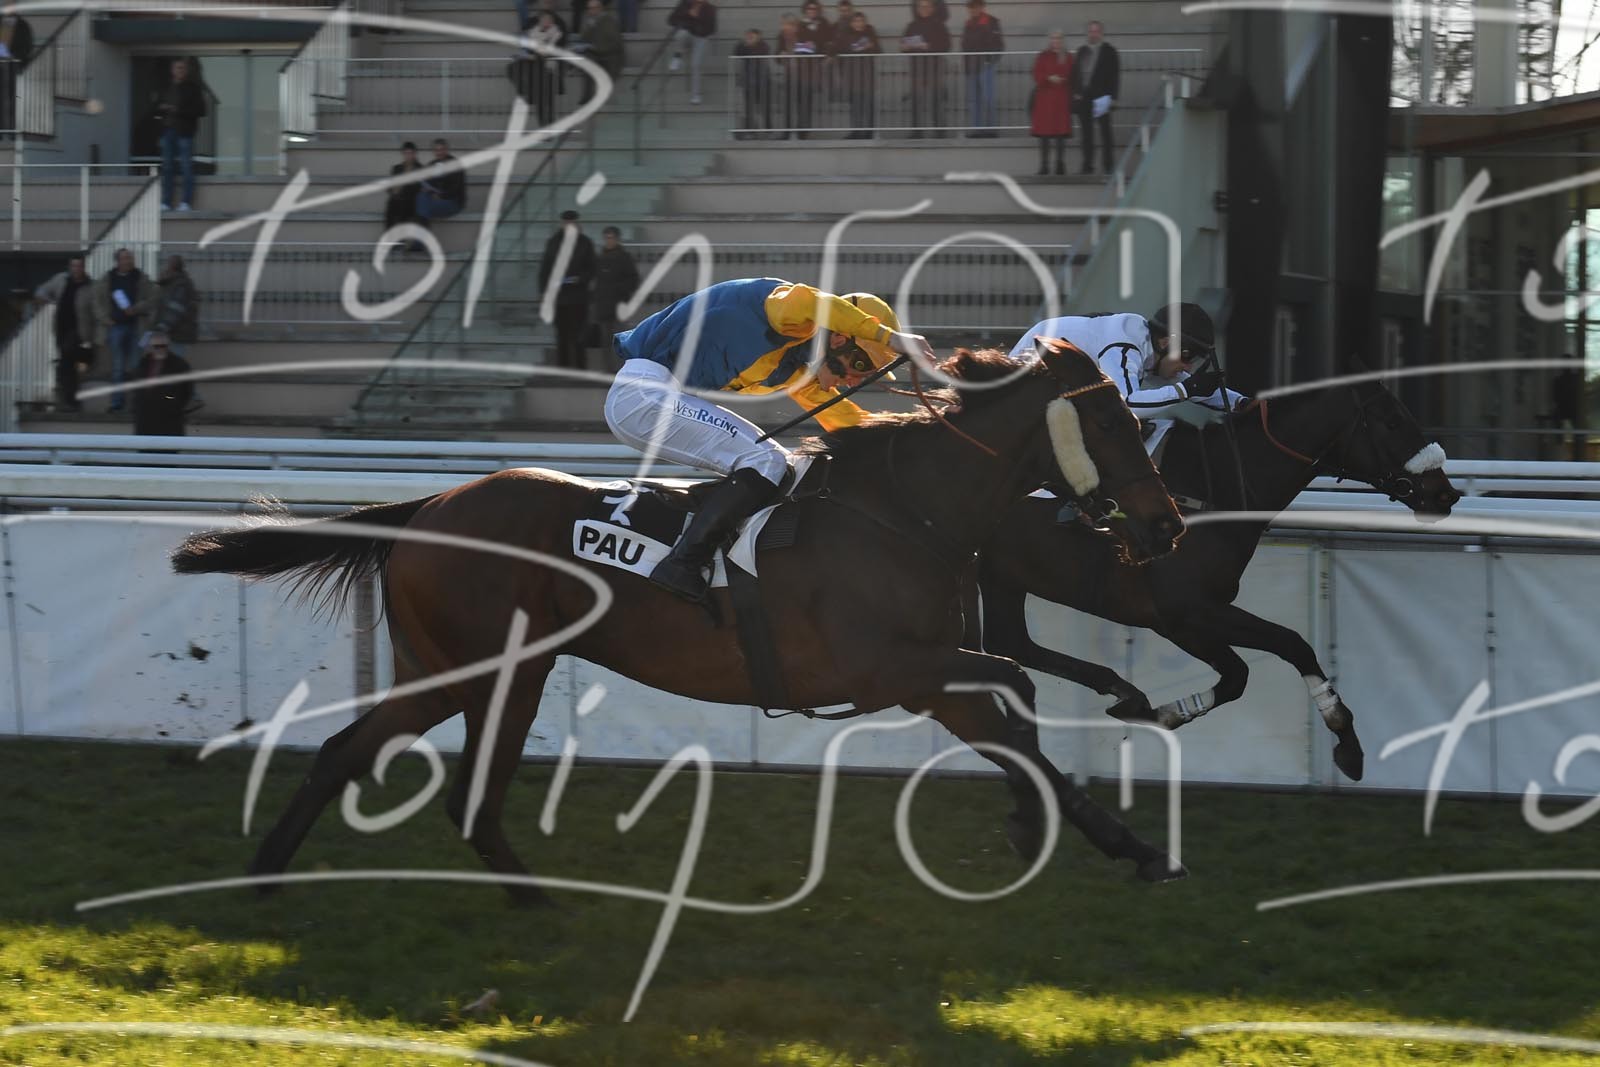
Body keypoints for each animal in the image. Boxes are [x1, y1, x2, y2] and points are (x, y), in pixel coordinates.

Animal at [171, 344, 1192, 900]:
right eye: (1113, 424)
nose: (1166, 524)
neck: (908, 510)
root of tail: (429, 508)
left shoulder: (930, 666)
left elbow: (1013, 710)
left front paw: (1083, 831)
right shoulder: (893, 668)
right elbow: (1012, 693)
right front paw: (1108, 838)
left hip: (465, 668)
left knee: (381, 761)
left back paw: (289, 876)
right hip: (484, 667)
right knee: (424, 775)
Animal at [971, 377, 1463, 782]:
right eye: (1392, 421)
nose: (1446, 494)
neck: (1214, 489)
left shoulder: (1185, 619)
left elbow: (1238, 675)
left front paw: (1162, 714)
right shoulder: (1182, 611)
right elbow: (1291, 644)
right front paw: (1346, 739)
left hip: (1000, 576)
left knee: (1010, 643)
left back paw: (1121, 689)